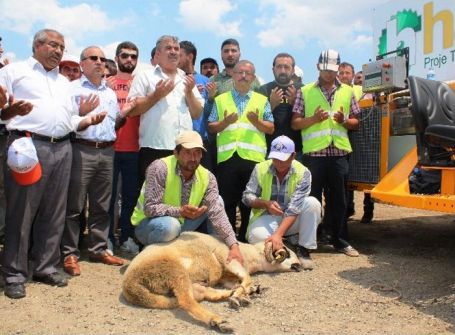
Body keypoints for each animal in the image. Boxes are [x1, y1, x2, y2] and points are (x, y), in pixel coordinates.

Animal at [122, 234, 302, 334]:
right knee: (186, 301)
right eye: (287, 253)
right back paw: (218, 321)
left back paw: (230, 297)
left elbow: (238, 282)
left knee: (203, 294)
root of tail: (130, 287)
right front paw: (239, 295)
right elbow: (247, 277)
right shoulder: (228, 259)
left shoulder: (224, 276)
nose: (300, 265)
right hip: (173, 271)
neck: (251, 255)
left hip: (189, 283)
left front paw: (244, 293)